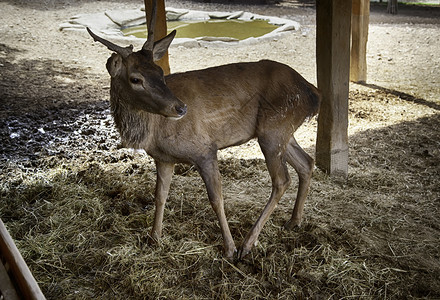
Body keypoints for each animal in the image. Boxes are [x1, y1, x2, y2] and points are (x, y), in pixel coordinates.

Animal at [87, 0, 320, 260]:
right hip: (282, 131)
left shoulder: (204, 149)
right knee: (306, 162)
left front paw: (229, 248)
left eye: (160, 73)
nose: (180, 107)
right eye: (135, 79)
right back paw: (294, 221)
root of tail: (313, 92)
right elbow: (160, 195)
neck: (153, 133)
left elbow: (216, 198)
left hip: (273, 128)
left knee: (282, 180)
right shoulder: (164, 158)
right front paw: (154, 238)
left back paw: (248, 243)